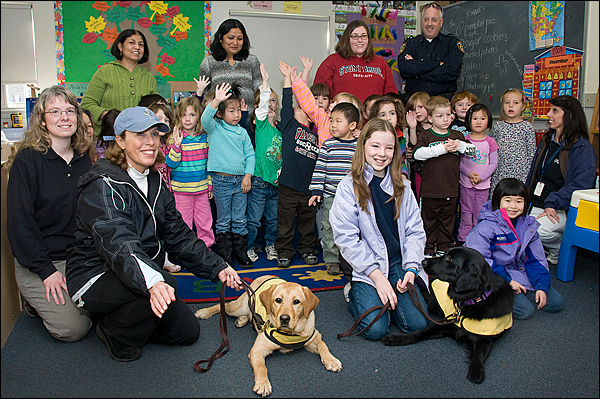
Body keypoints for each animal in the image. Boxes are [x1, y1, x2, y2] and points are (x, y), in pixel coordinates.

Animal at [195, 276, 340, 396]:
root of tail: (265, 276)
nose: (285, 318)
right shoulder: (257, 349)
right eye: (278, 300)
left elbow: (323, 344)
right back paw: (204, 312)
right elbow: (261, 367)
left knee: (249, 313)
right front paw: (263, 384)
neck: (289, 333)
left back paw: (242, 320)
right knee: (225, 305)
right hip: (237, 308)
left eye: (296, 301)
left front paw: (331, 360)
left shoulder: (313, 336)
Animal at [382, 247, 512, 384]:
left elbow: (479, 354)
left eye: (450, 259)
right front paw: (397, 338)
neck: (471, 300)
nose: (423, 261)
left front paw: (476, 369)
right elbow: (418, 333)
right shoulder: (445, 325)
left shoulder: (485, 339)